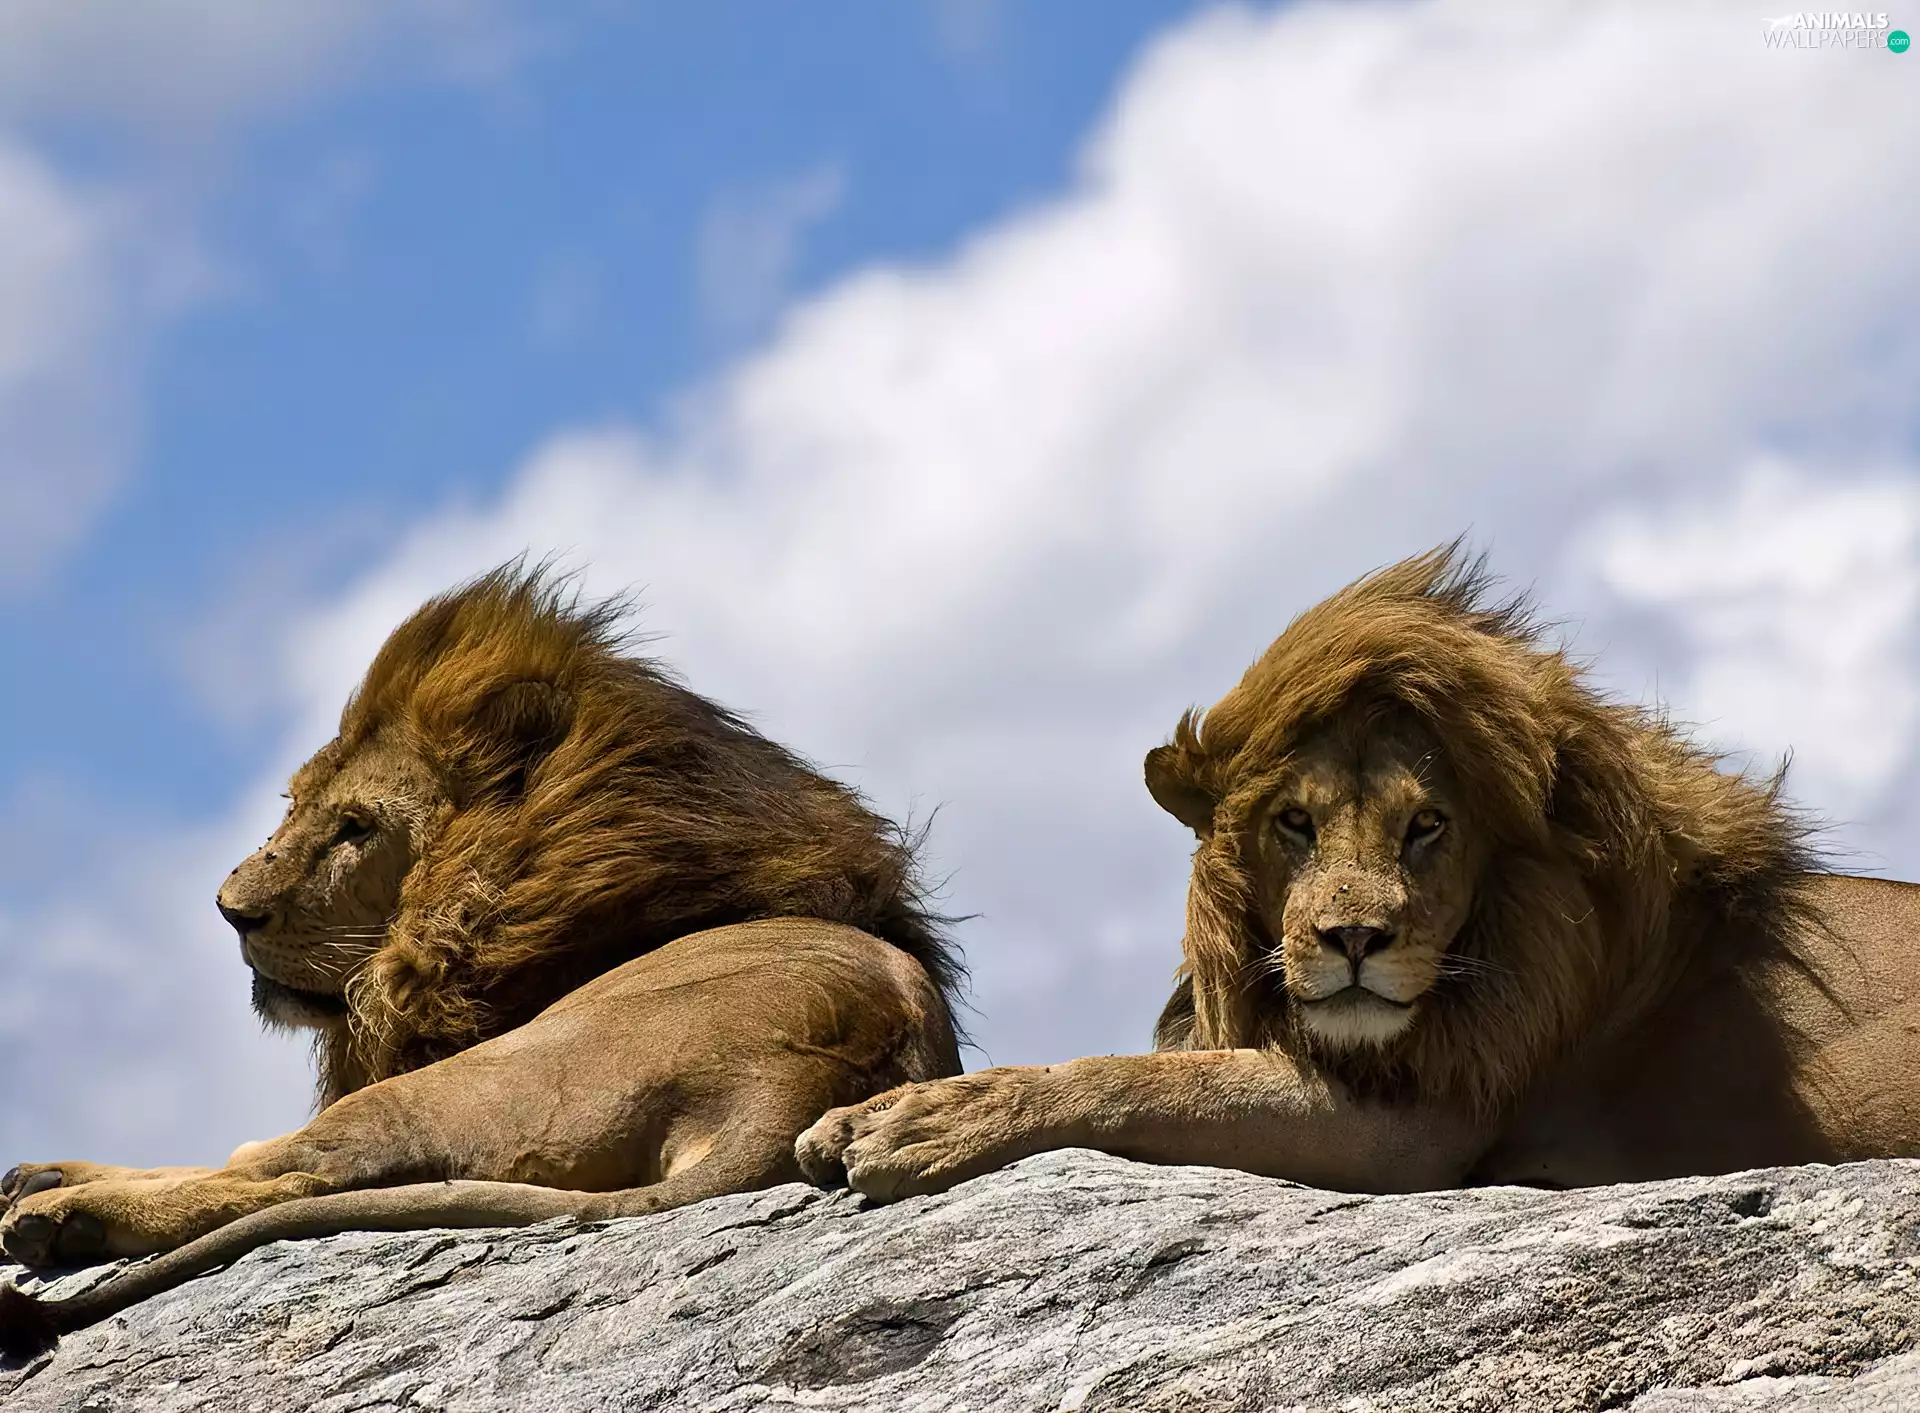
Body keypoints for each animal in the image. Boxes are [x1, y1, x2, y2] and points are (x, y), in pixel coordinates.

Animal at [0, 566, 962, 1355]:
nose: (231, 909)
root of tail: (787, 1091)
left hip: (471, 1080)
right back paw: (44, 1180)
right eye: (294, 805)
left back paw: (59, 1213)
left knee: (290, 1170)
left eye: (355, 827)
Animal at [797, 545, 1920, 1202]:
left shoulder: (1421, 1124)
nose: (1352, 941)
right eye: (1294, 821)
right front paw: (863, 1113)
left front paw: (926, 1122)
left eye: (1428, 825)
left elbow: (1142, 1078)